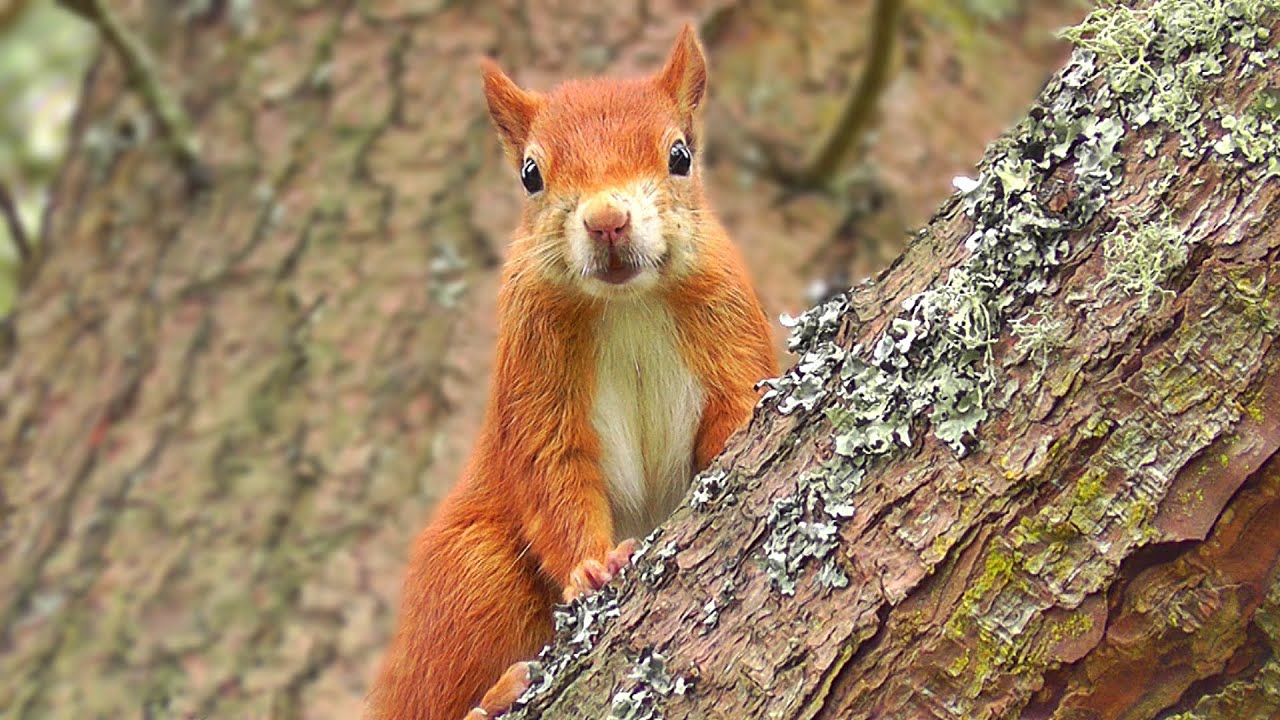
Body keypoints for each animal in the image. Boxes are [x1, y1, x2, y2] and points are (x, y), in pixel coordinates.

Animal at [365, 24, 779, 720]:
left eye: (681, 155)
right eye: (530, 174)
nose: (607, 220)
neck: (628, 303)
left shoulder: (730, 324)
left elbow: (738, 413)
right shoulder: (532, 360)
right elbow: (552, 467)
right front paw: (592, 567)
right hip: (474, 577)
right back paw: (494, 695)